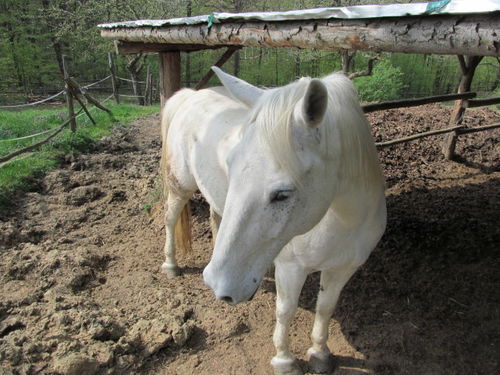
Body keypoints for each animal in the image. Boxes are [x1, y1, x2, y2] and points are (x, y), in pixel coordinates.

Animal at [160, 68, 386, 375]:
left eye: (282, 194)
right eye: (231, 165)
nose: (217, 285)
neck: (345, 222)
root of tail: (190, 95)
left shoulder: (343, 268)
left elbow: (326, 308)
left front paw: (320, 352)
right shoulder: (291, 267)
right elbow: (286, 310)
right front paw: (284, 359)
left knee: (216, 217)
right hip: (180, 186)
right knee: (171, 218)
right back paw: (171, 264)